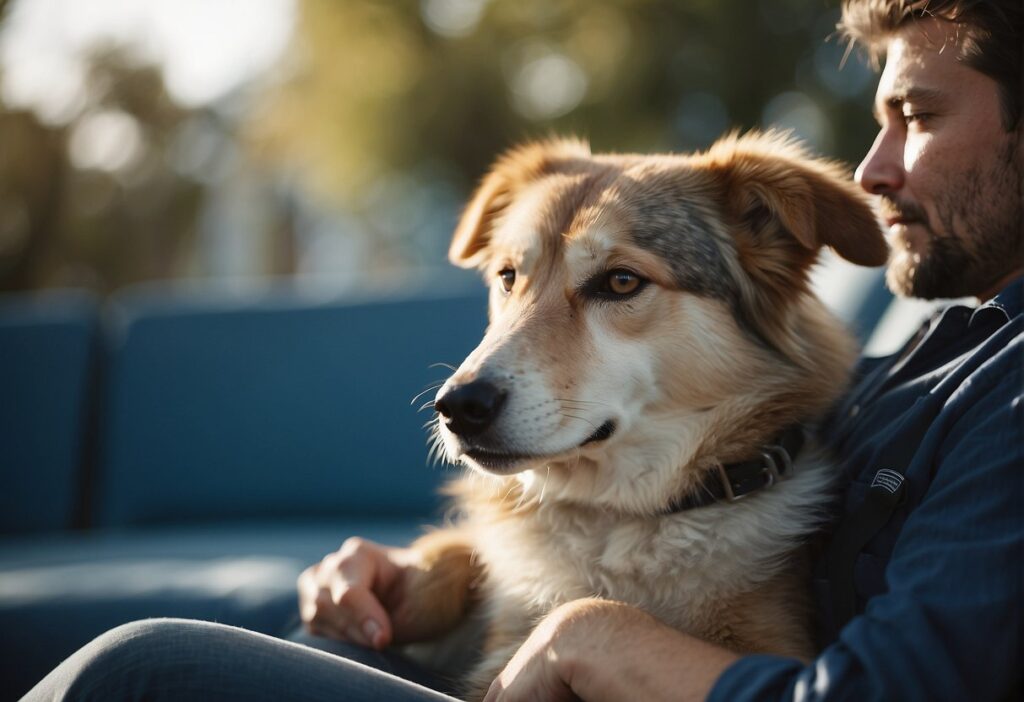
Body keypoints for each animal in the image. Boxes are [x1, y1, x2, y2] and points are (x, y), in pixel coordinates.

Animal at [399, 130, 888, 699]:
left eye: (621, 282)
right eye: (507, 277)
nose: (458, 407)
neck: (622, 517)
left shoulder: (776, 644)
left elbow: (578, 616)